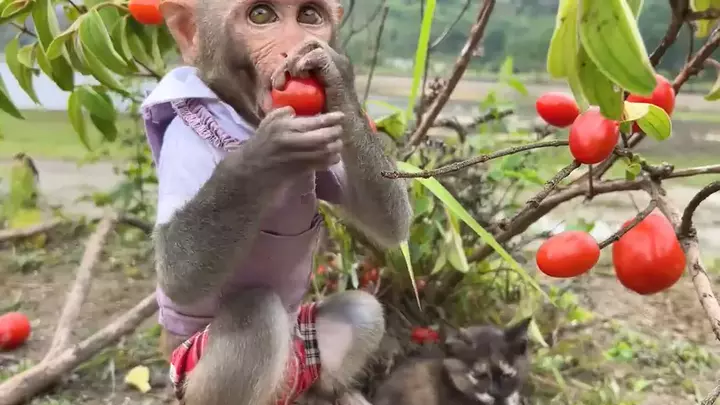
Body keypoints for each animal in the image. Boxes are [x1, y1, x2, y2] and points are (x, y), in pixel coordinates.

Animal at [140, 0, 413, 404]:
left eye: (309, 16)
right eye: (261, 15)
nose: (293, 51)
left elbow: (389, 220)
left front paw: (338, 78)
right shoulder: (182, 140)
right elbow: (179, 273)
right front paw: (268, 152)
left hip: (304, 341)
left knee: (361, 309)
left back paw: (331, 390)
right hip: (188, 369)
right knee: (256, 317)